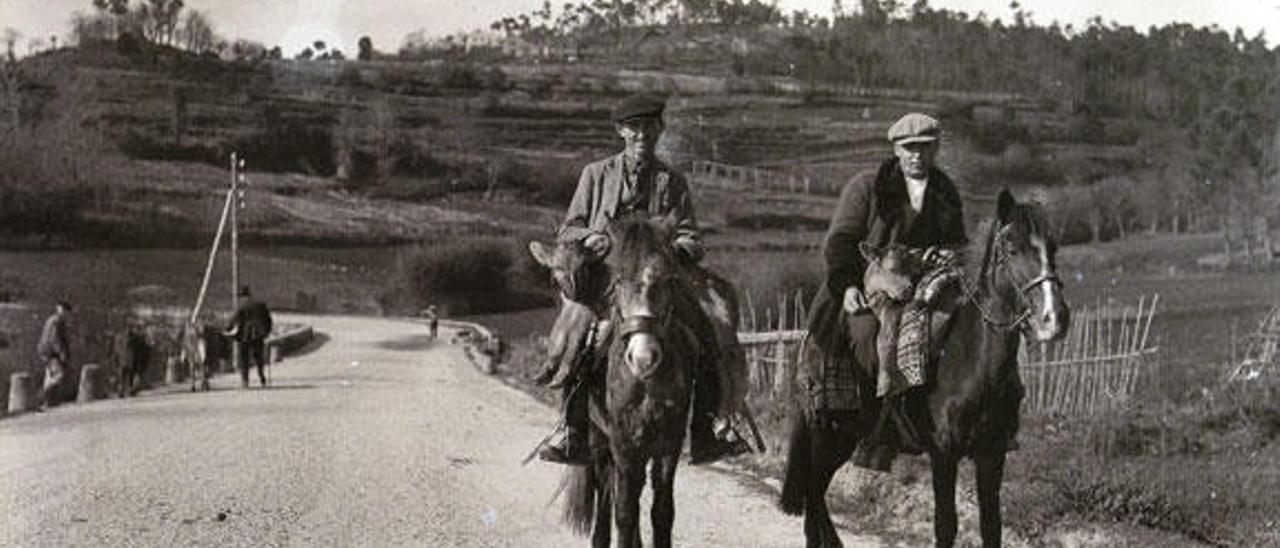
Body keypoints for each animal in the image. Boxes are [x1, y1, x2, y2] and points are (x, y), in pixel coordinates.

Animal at [535, 213, 701, 548]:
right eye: (616, 283)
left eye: (669, 280)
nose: (644, 358)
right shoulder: (624, 444)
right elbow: (624, 511)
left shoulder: (669, 445)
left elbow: (662, 511)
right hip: (601, 441)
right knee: (606, 489)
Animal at [778, 189, 1070, 548]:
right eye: (1012, 249)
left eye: (1053, 248)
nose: (1054, 319)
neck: (971, 359)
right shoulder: (943, 453)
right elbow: (946, 525)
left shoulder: (992, 453)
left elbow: (992, 526)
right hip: (826, 431)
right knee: (813, 487)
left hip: (845, 436)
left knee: (816, 488)